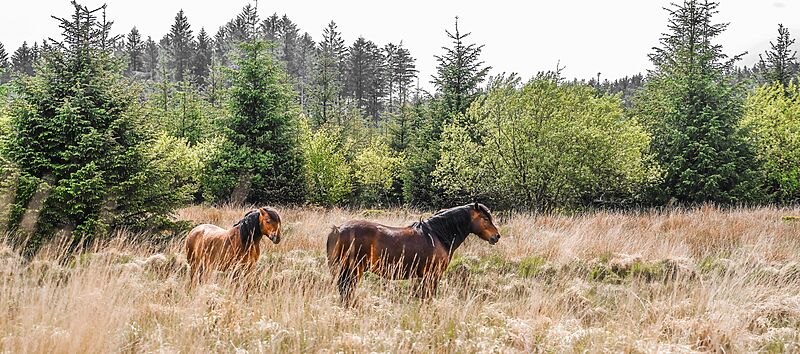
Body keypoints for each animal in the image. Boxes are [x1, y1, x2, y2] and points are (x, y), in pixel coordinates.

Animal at [324, 203, 500, 302]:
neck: (437, 235)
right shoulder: (432, 276)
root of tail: (338, 229)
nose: (496, 236)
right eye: (485, 218)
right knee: (346, 291)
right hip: (353, 270)